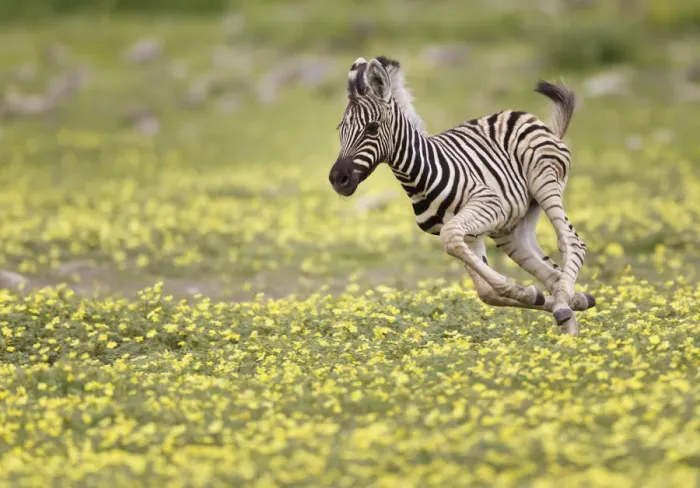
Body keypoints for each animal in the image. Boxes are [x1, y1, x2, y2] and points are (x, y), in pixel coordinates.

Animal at [328, 55, 595, 335]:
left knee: (571, 241)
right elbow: (485, 290)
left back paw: (565, 308)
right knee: (551, 274)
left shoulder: (487, 205)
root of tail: (523, 116)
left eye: (371, 128)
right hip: (512, 228)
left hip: (543, 181)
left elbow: (459, 250)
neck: (419, 177)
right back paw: (570, 324)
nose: (337, 179)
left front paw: (529, 293)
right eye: (340, 129)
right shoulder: (467, 234)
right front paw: (534, 295)